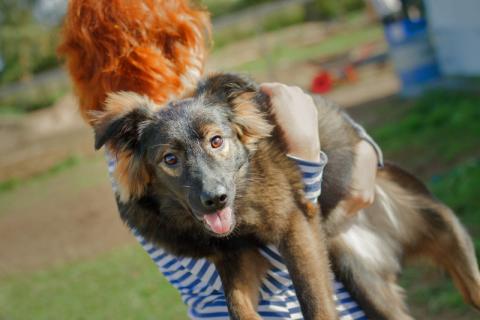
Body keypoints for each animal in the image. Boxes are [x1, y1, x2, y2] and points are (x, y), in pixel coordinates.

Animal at [92, 73, 478, 320]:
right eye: (170, 159)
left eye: (216, 141)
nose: (216, 199)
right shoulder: (235, 256)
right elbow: (236, 305)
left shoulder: (295, 224)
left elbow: (313, 301)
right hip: (365, 282)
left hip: (447, 235)